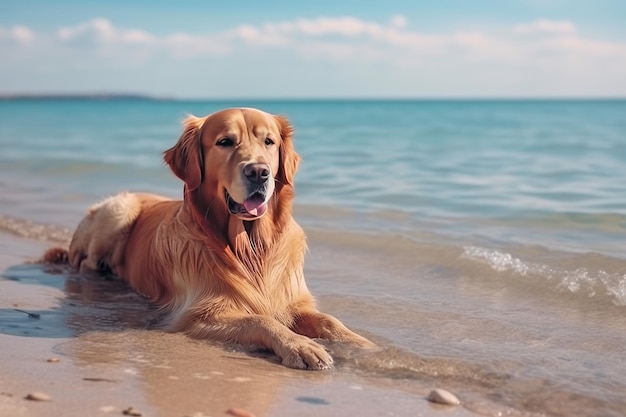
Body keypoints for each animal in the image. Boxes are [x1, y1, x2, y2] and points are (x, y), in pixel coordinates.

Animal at [48, 109, 372, 368]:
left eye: (269, 142)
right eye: (225, 142)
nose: (259, 172)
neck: (251, 248)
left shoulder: (293, 301)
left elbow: (329, 321)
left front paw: (366, 346)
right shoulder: (199, 315)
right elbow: (260, 319)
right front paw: (301, 345)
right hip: (119, 209)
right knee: (86, 263)